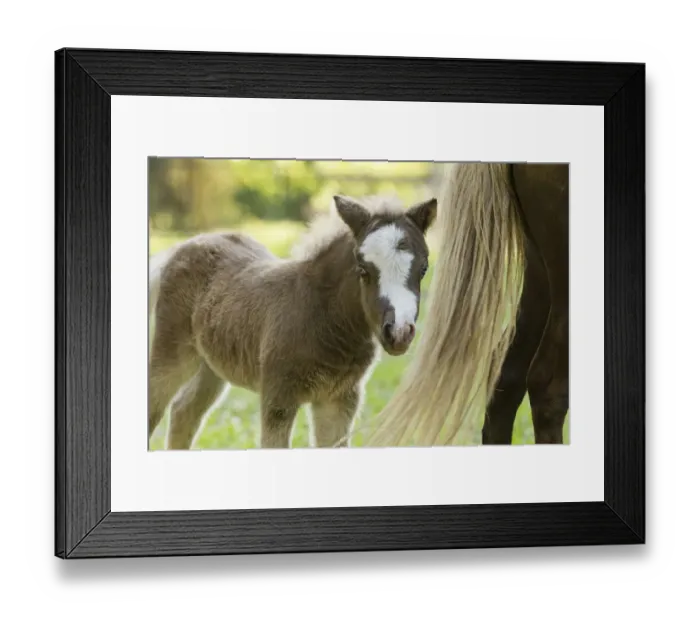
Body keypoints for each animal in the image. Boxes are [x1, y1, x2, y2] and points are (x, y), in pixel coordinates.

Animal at [147, 194, 437, 450]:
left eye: (423, 269)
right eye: (363, 270)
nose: (399, 333)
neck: (324, 316)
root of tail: (184, 245)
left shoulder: (340, 399)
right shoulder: (278, 397)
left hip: (212, 364)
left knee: (184, 411)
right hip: (172, 351)